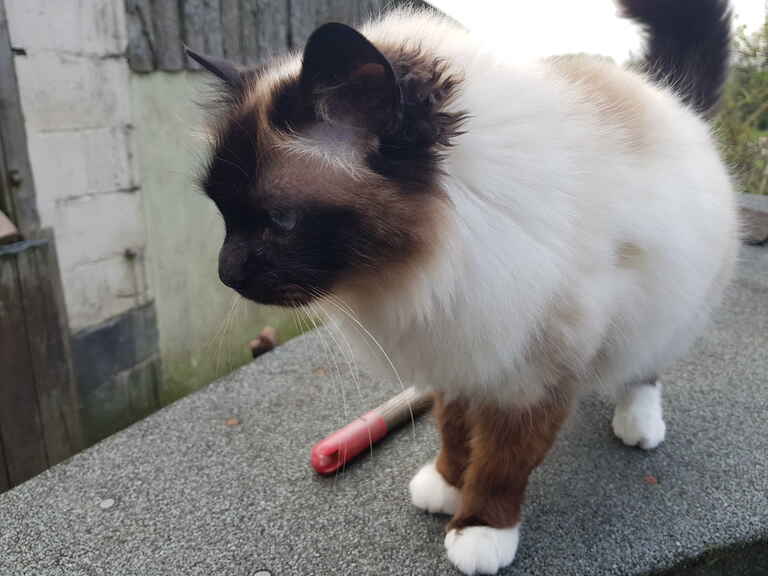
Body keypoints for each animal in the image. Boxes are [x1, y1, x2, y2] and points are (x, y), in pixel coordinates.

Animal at [189, 1, 738, 573]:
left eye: (280, 220)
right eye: (224, 214)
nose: (227, 272)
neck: (432, 265)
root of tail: (667, 93)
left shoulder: (531, 377)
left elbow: (500, 464)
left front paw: (478, 531)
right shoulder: (457, 355)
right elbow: (455, 434)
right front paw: (445, 485)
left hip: (664, 308)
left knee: (643, 368)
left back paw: (638, 426)